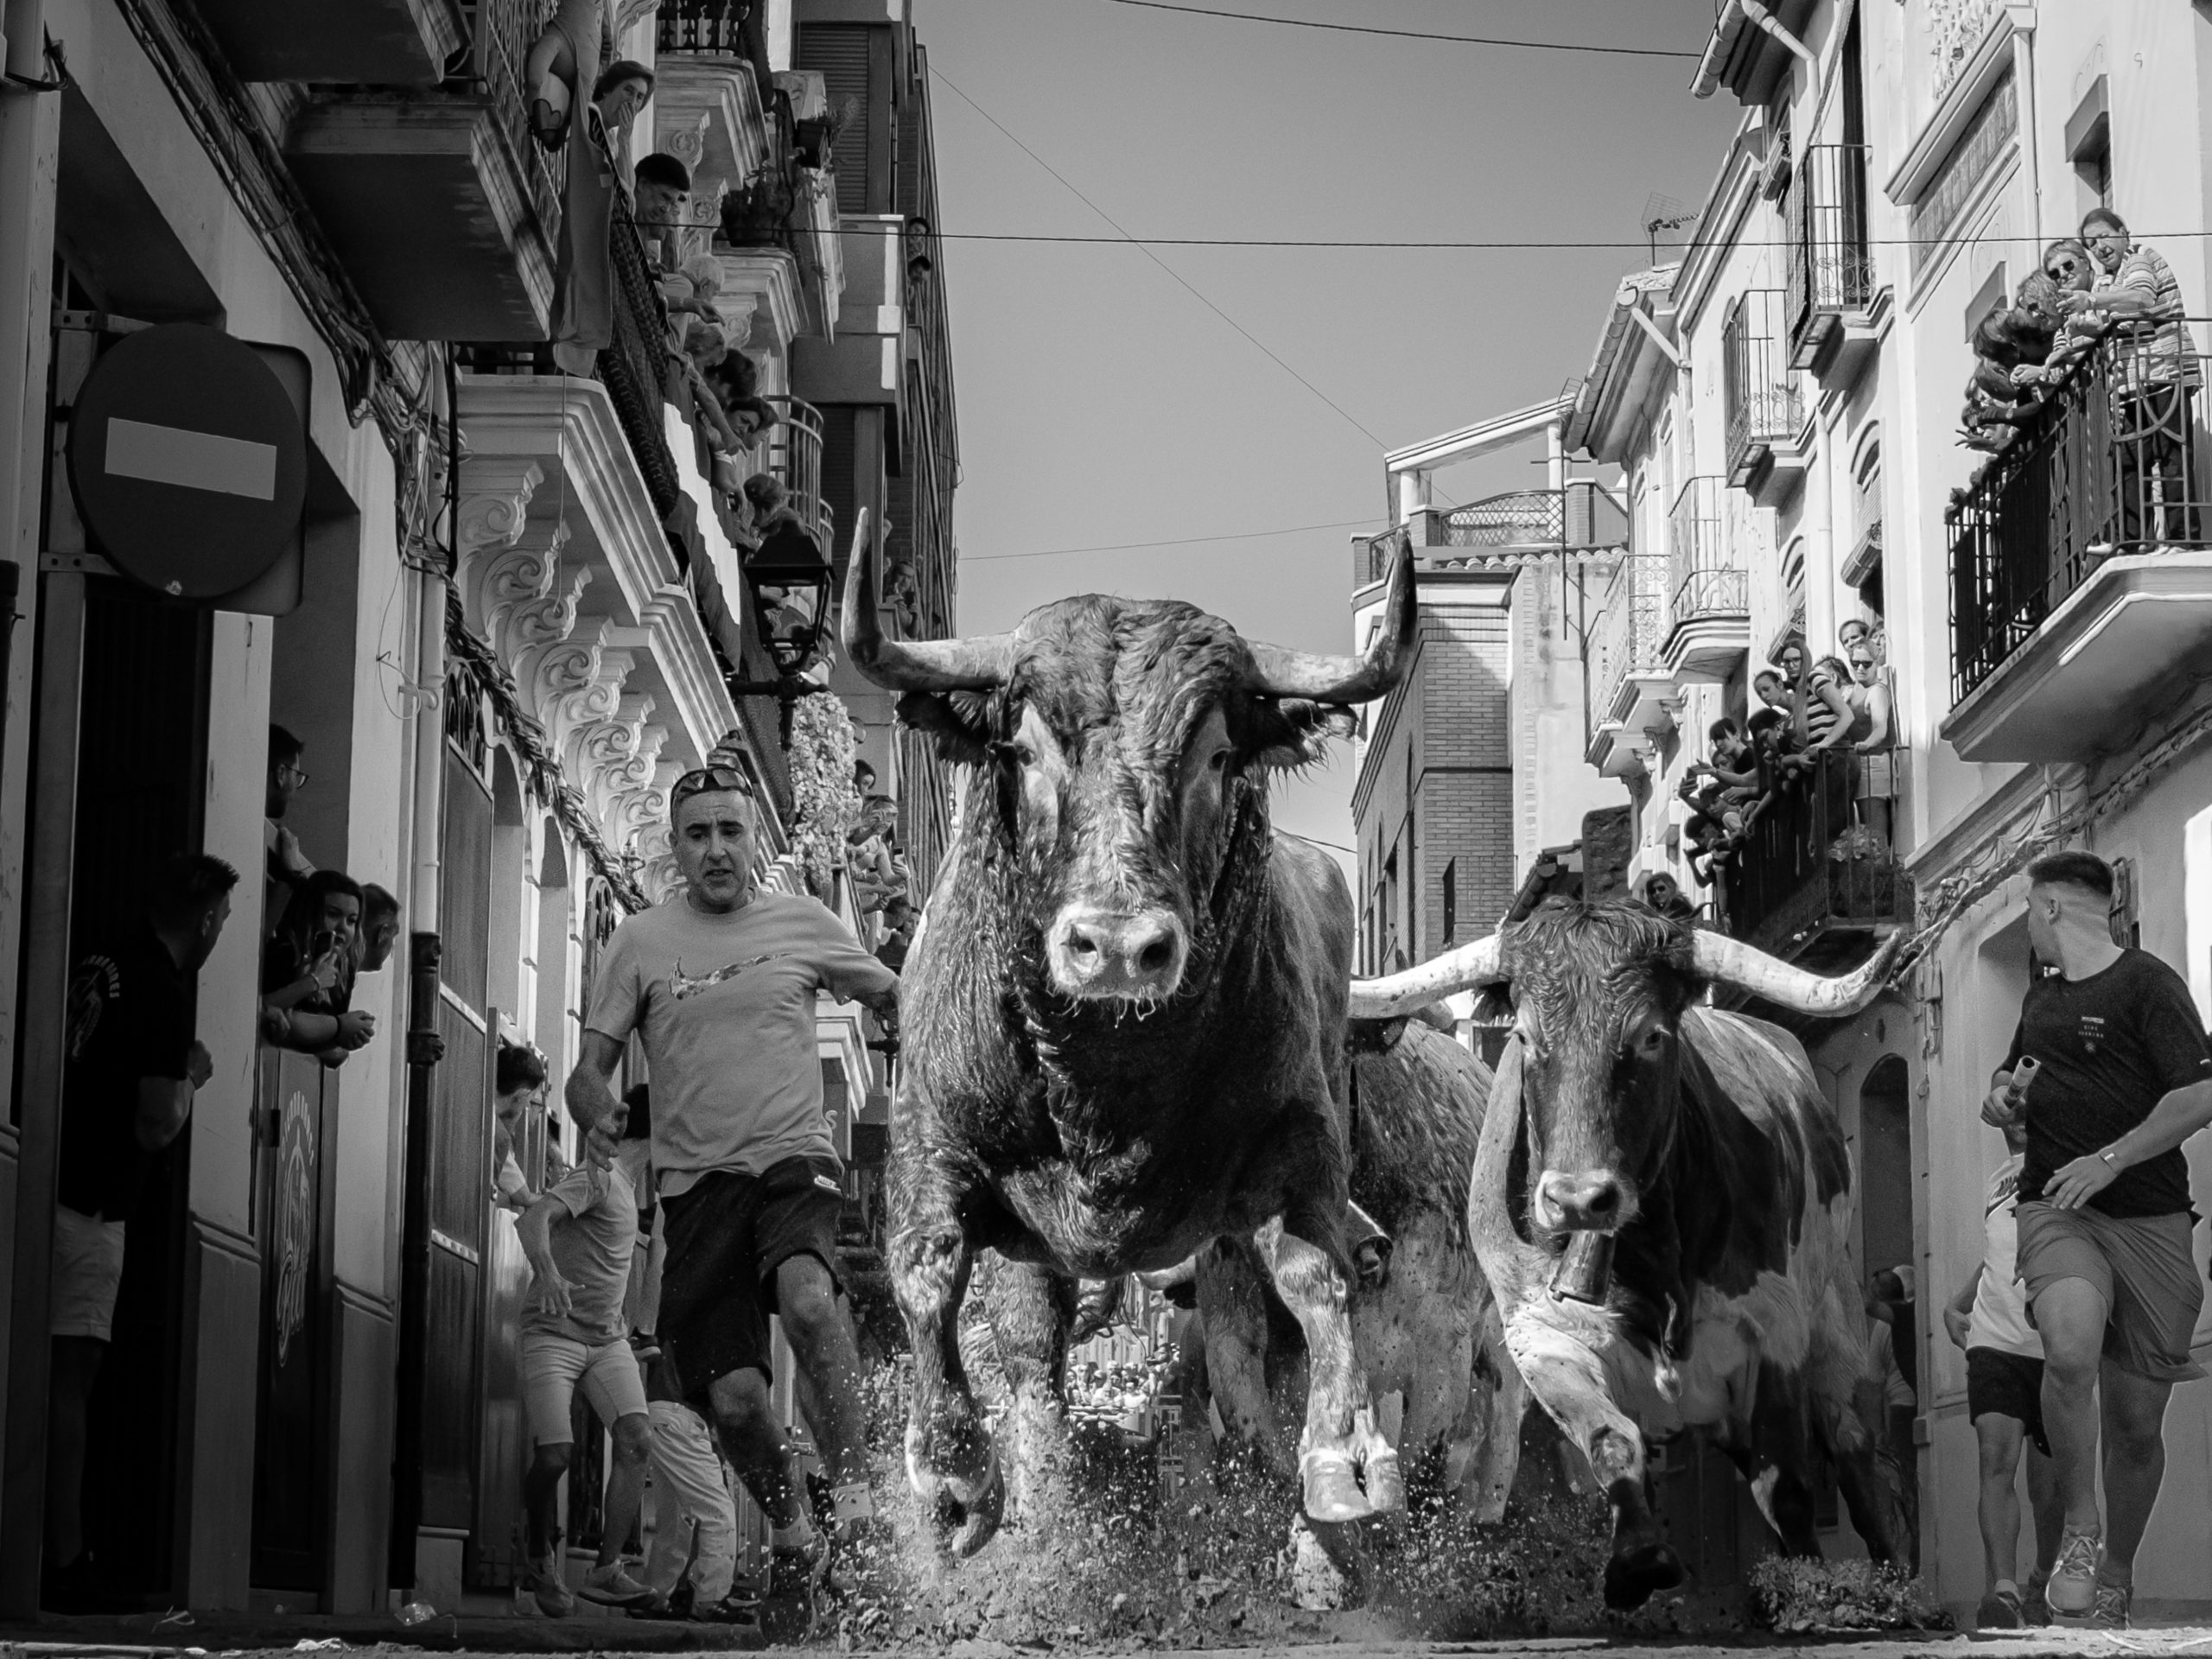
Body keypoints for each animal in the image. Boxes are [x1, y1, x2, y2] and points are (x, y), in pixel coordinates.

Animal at [836, 535, 1424, 1557]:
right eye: (1024, 749)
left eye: (1219, 754)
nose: (1114, 946)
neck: (1105, 1085)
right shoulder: (928, 1138)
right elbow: (928, 1271)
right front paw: (953, 1472)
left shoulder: (1300, 1135)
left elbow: (1316, 1274)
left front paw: (1345, 1454)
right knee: (1034, 1349)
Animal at [1344, 902, 1920, 1618]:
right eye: (1527, 1038)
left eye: (1650, 1036)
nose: (1576, 1198)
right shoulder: (1539, 1338)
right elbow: (1612, 1444)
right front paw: (1638, 1560)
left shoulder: (1773, 1332)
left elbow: (1787, 1484)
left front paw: (1806, 1589)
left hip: (1836, 1321)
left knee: (1856, 1453)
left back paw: (1890, 1586)